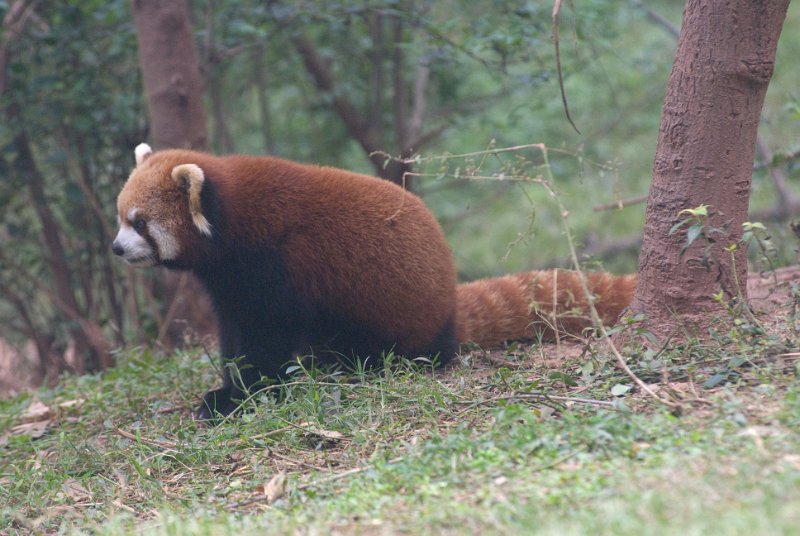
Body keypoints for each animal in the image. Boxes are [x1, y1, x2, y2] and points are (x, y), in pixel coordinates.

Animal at [112, 146, 636, 418]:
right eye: (121, 218)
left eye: (139, 223)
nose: (116, 248)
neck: (233, 223)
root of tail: (448, 308)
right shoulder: (228, 283)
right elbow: (234, 336)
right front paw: (227, 389)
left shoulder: (276, 267)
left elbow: (268, 337)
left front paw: (247, 394)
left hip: (393, 321)